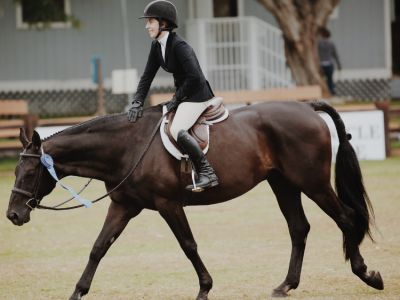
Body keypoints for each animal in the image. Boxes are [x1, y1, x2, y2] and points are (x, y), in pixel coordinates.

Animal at [5, 99, 384, 298]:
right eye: (16, 171)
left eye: (30, 173)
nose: (13, 215)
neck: (127, 148)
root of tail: (306, 107)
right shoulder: (124, 205)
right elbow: (99, 248)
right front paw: (77, 292)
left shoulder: (168, 204)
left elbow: (188, 245)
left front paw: (205, 288)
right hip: (284, 184)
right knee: (299, 228)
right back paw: (286, 285)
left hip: (312, 182)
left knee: (346, 218)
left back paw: (366, 274)